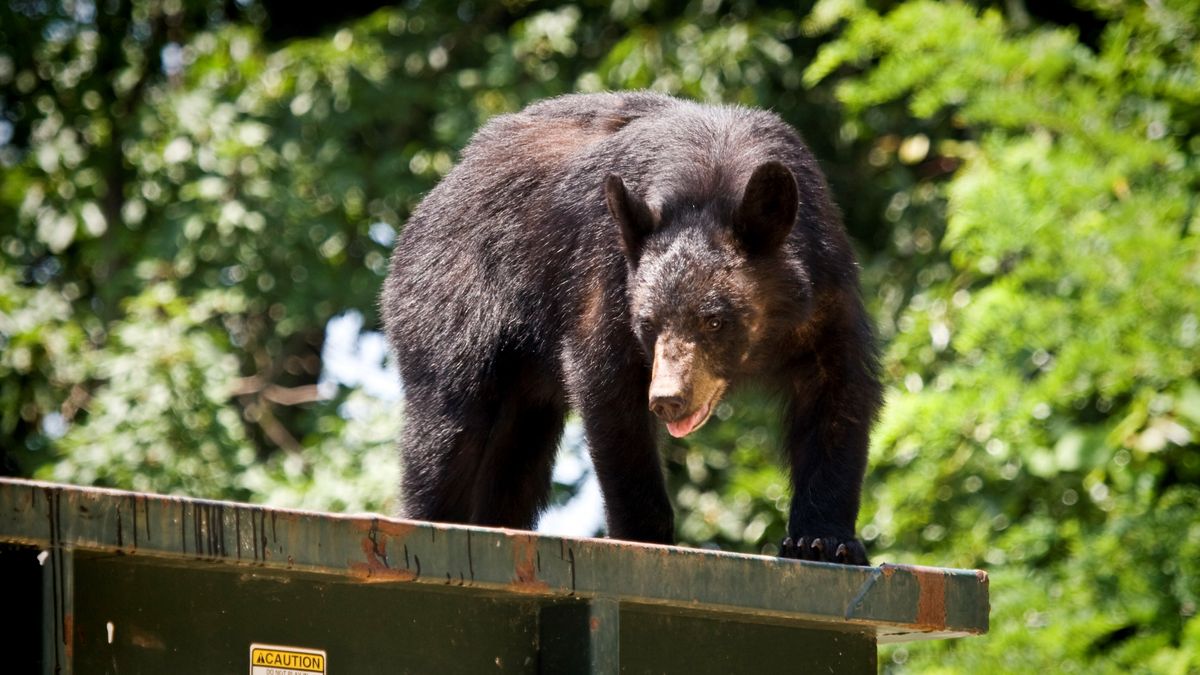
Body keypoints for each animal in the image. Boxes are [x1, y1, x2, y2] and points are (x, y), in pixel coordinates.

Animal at [384, 90, 883, 562]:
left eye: (715, 320)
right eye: (647, 322)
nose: (667, 399)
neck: (713, 180)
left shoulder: (827, 286)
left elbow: (837, 391)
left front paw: (824, 541)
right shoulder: (606, 275)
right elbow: (609, 390)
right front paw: (646, 534)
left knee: (516, 459)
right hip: (451, 297)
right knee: (449, 429)